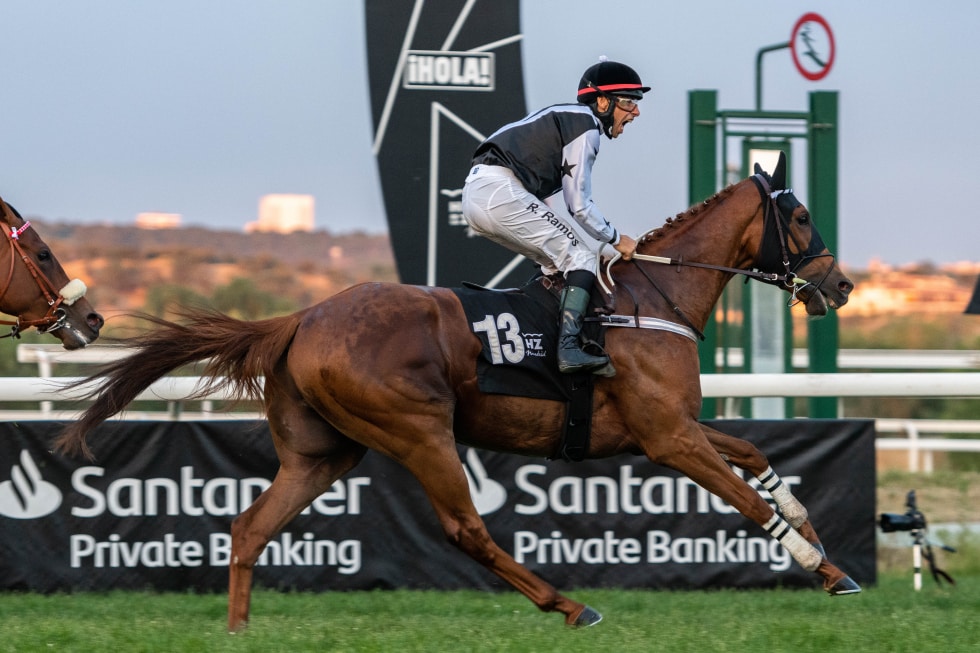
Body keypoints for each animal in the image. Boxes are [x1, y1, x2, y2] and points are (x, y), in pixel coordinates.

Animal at [59, 155, 856, 628]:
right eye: (801, 216)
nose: (842, 284)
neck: (648, 296)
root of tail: (302, 317)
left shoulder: (668, 429)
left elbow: (754, 455)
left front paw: (813, 533)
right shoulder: (667, 438)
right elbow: (746, 497)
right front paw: (824, 566)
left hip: (324, 452)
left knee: (251, 525)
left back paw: (238, 627)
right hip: (419, 431)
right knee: (465, 528)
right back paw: (570, 605)